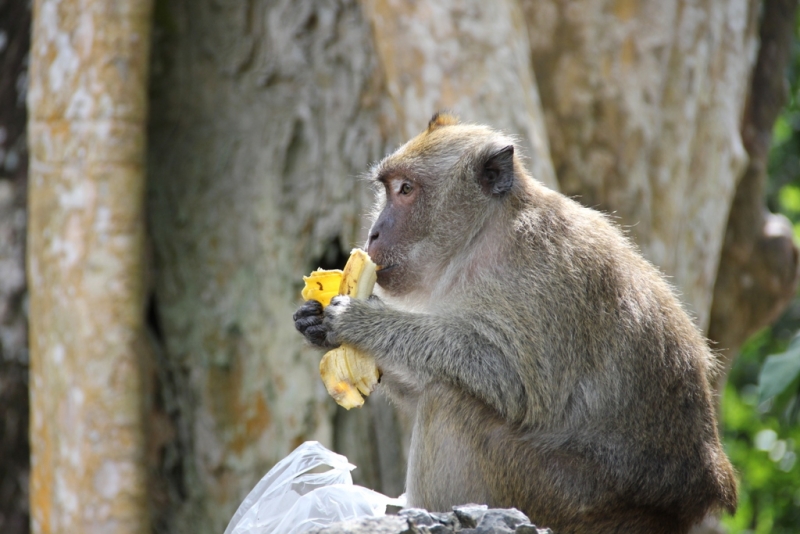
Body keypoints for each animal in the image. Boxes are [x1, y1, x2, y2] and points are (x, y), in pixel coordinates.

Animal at [294, 114, 736, 534]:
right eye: (387, 189)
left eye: (406, 190)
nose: (373, 233)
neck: (484, 236)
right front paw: (315, 324)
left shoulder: (540, 281)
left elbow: (512, 383)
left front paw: (361, 319)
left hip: (557, 496)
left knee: (447, 402)